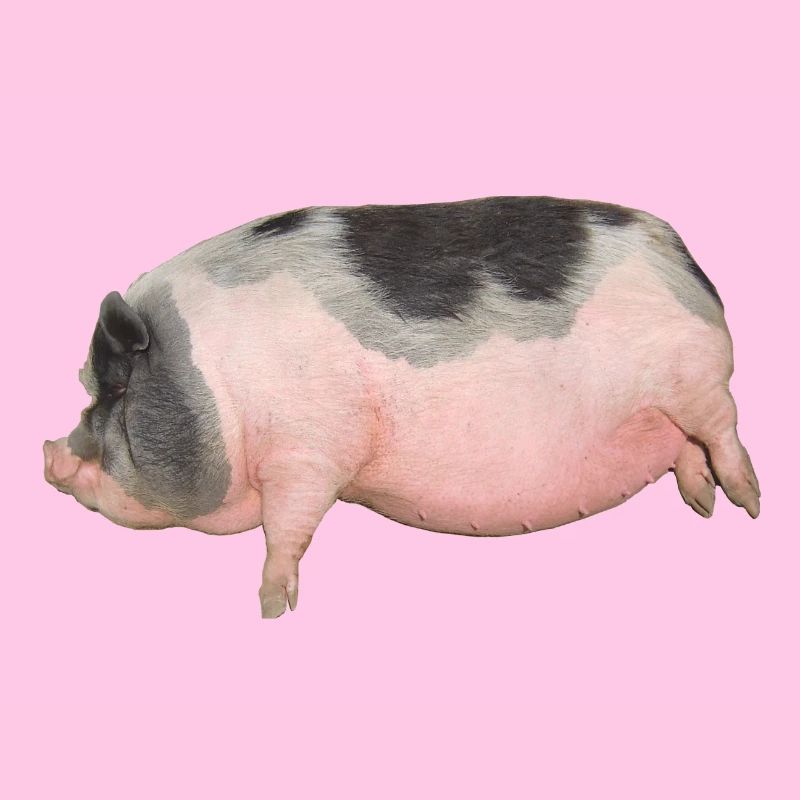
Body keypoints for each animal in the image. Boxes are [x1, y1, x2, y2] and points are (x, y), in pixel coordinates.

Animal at [43, 197, 761, 617]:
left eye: (114, 391)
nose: (47, 454)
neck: (217, 383)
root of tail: (684, 260)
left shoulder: (309, 452)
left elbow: (287, 529)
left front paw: (271, 607)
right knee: (688, 451)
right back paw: (701, 506)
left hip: (697, 380)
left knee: (724, 433)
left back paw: (749, 504)